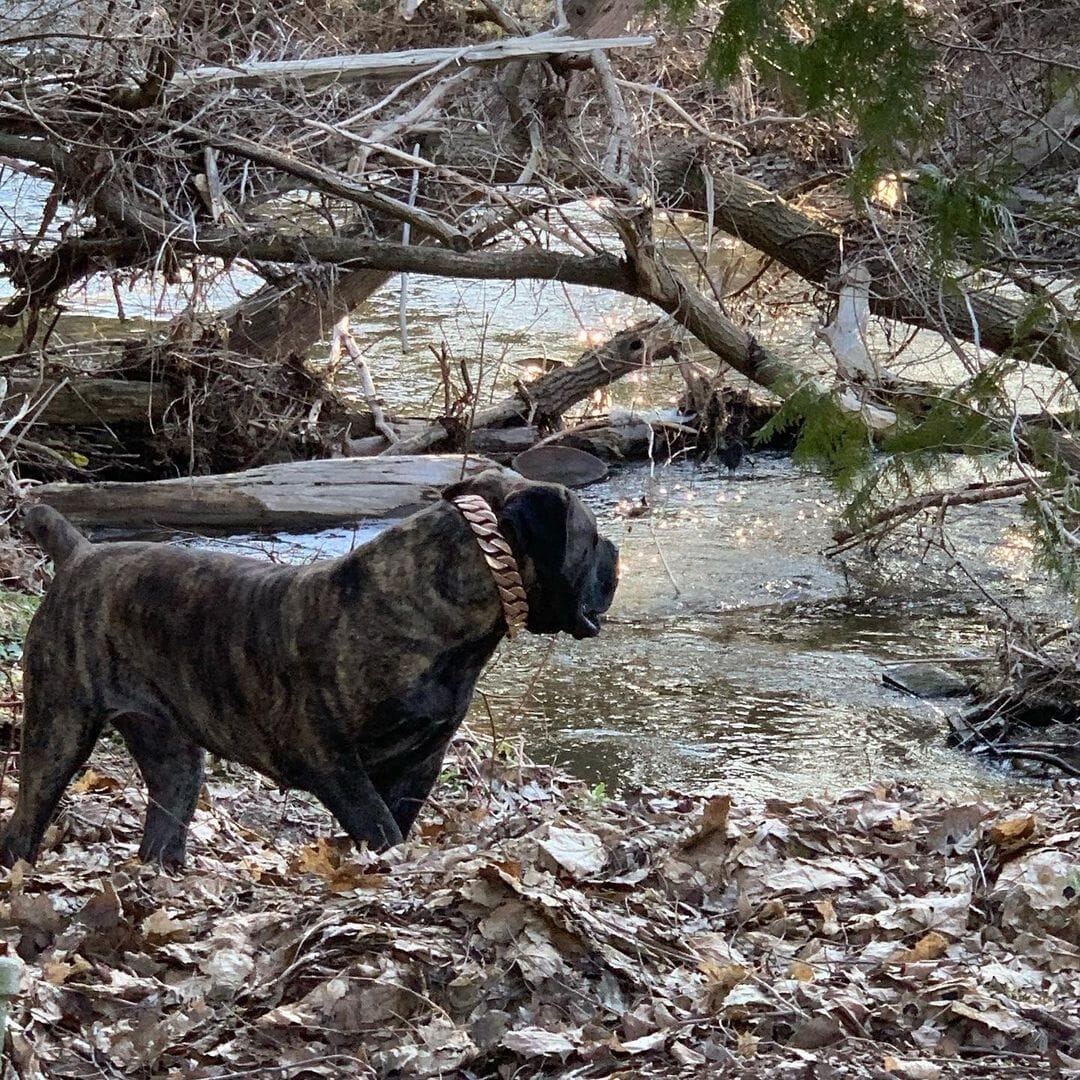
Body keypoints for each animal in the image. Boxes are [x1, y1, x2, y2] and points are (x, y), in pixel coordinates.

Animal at [2, 473, 617, 868]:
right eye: (591, 539)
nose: (614, 551)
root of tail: (80, 553)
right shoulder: (331, 760)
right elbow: (377, 823)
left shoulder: (420, 761)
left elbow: (394, 823)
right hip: (58, 729)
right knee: (23, 824)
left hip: (172, 754)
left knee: (163, 828)